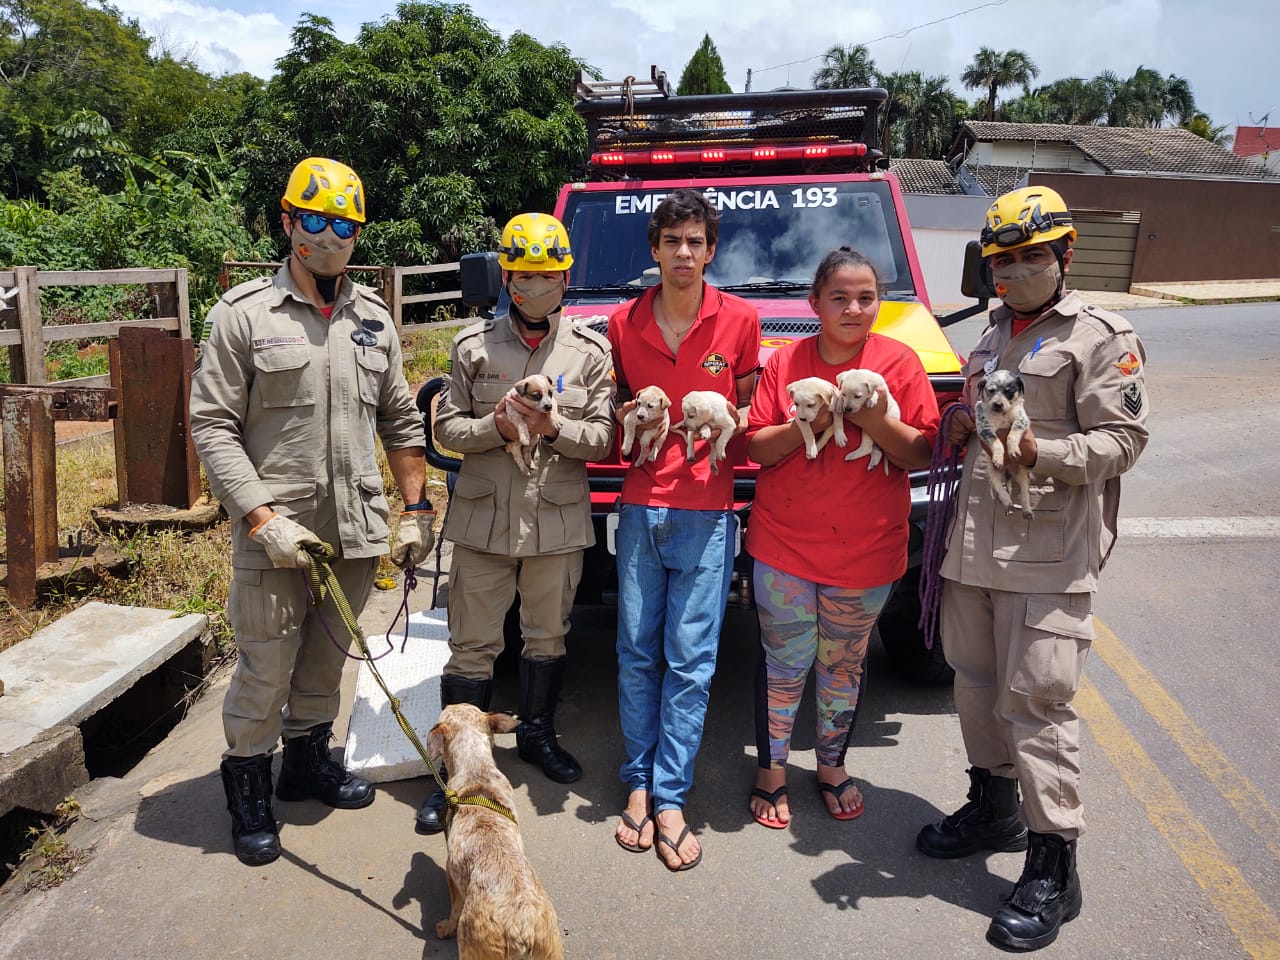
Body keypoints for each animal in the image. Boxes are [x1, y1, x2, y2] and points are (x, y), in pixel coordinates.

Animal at [427, 701, 563, 960]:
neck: (476, 771)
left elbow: (454, 908)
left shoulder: (451, 873)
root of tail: (521, 929)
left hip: (474, 947)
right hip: (551, 948)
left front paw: (446, 927)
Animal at [972, 368, 1034, 519]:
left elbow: (1012, 434)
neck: (1002, 415)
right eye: (990, 391)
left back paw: (1027, 510)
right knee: (1000, 490)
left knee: (1024, 492)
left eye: (1009, 391)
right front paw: (999, 457)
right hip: (992, 473)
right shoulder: (985, 428)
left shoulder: (1021, 419)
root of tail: (1008, 472)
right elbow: (997, 442)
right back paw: (1008, 504)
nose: (998, 404)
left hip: (1023, 473)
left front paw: (1012, 450)